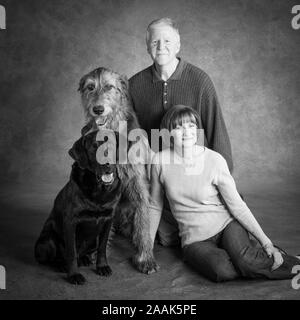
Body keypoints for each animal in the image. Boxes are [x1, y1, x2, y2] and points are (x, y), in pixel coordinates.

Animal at [35, 131, 123, 284]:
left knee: (84, 252)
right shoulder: (70, 222)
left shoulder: (108, 220)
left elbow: (102, 247)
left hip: (92, 241)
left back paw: (84, 259)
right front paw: (74, 275)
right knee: (53, 258)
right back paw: (61, 265)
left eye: (111, 144)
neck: (98, 189)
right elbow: (71, 252)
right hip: (47, 241)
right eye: (94, 147)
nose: (107, 164)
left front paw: (102, 266)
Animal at [77, 66, 158, 274]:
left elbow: (143, 217)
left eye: (109, 87)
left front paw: (145, 257)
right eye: (90, 87)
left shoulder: (137, 179)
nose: (97, 109)